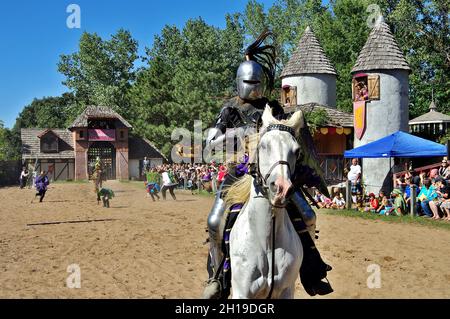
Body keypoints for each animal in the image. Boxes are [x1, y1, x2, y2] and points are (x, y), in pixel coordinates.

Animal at [227, 107, 304, 300]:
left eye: (297, 151)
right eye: (263, 146)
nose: (281, 189)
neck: (267, 242)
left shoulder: (286, 290)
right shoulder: (241, 293)